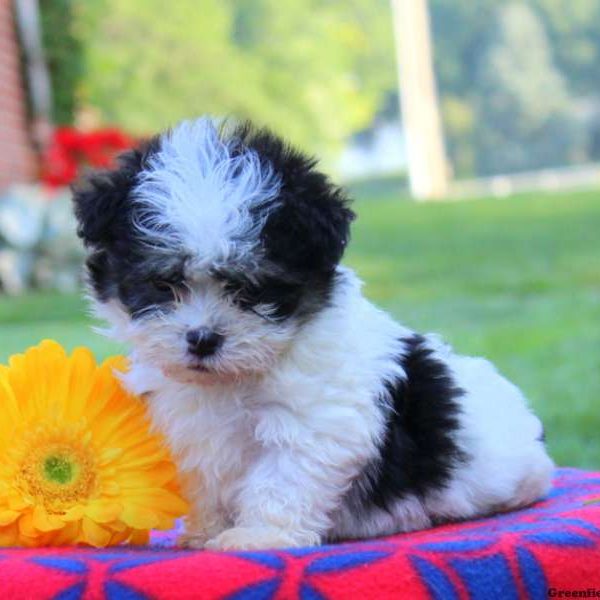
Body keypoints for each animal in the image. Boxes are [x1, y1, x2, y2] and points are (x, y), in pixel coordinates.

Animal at [74, 116, 552, 548]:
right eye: (163, 283)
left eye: (252, 290)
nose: (203, 339)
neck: (232, 379)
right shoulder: (190, 430)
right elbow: (203, 482)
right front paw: (203, 532)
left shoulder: (312, 421)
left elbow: (282, 477)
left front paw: (258, 537)